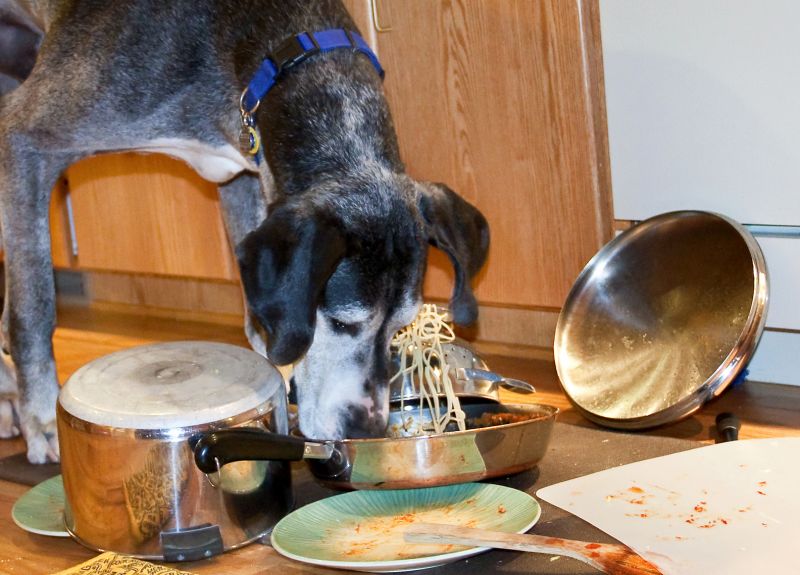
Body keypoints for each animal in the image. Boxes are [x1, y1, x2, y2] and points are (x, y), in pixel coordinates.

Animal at [0, 0, 490, 466]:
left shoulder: (246, 180)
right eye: (341, 322)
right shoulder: (23, 138)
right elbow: (33, 310)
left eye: (401, 327)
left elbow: (256, 320)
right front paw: (44, 422)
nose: (367, 429)